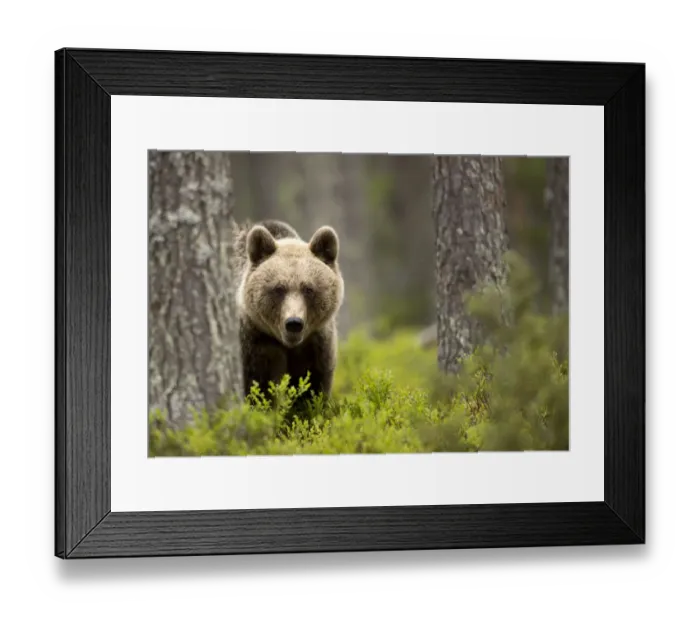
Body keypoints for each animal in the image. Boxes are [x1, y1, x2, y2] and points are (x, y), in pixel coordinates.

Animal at [232, 218, 344, 409]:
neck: (288, 345)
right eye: (279, 288)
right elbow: (258, 389)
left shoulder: (315, 347)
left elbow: (312, 388)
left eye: (308, 289)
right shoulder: (255, 344)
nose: (294, 323)